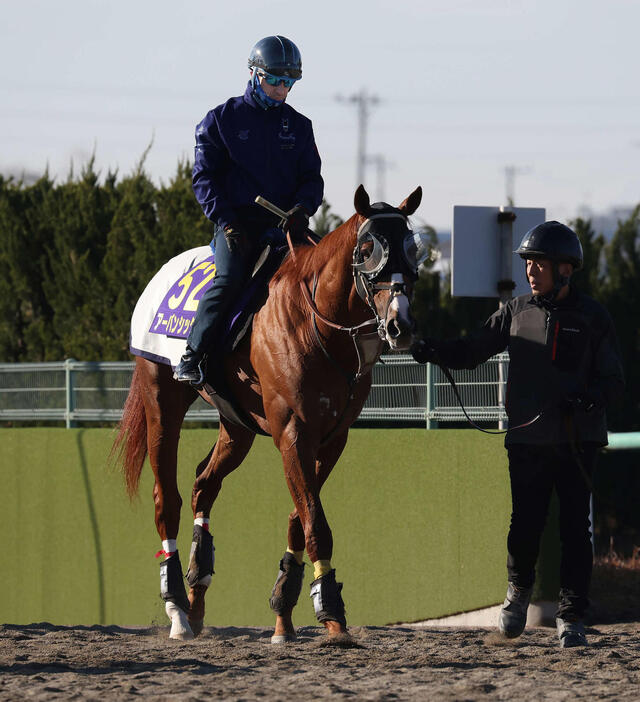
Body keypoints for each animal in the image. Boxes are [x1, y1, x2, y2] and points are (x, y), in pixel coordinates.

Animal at [112, 186, 422, 644]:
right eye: (368, 250)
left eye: (412, 249)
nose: (400, 324)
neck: (316, 325)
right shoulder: (293, 433)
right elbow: (316, 523)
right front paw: (331, 613)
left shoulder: (332, 438)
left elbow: (300, 517)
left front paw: (284, 612)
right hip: (161, 401)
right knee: (167, 498)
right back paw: (179, 610)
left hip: (236, 426)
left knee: (204, 484)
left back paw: (198, 593)